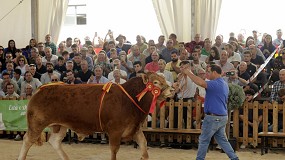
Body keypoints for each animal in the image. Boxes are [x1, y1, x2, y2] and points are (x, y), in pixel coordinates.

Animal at [18, 72, 173, 160]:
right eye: (155, 82)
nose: (172, 89)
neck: (130, 99)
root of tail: (40, 89)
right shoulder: (115, 131)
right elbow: (114, 151)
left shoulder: (135, 129)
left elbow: (144, 147)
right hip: (36, 124)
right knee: (27, 140)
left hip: (60, 125)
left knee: (54, 141)